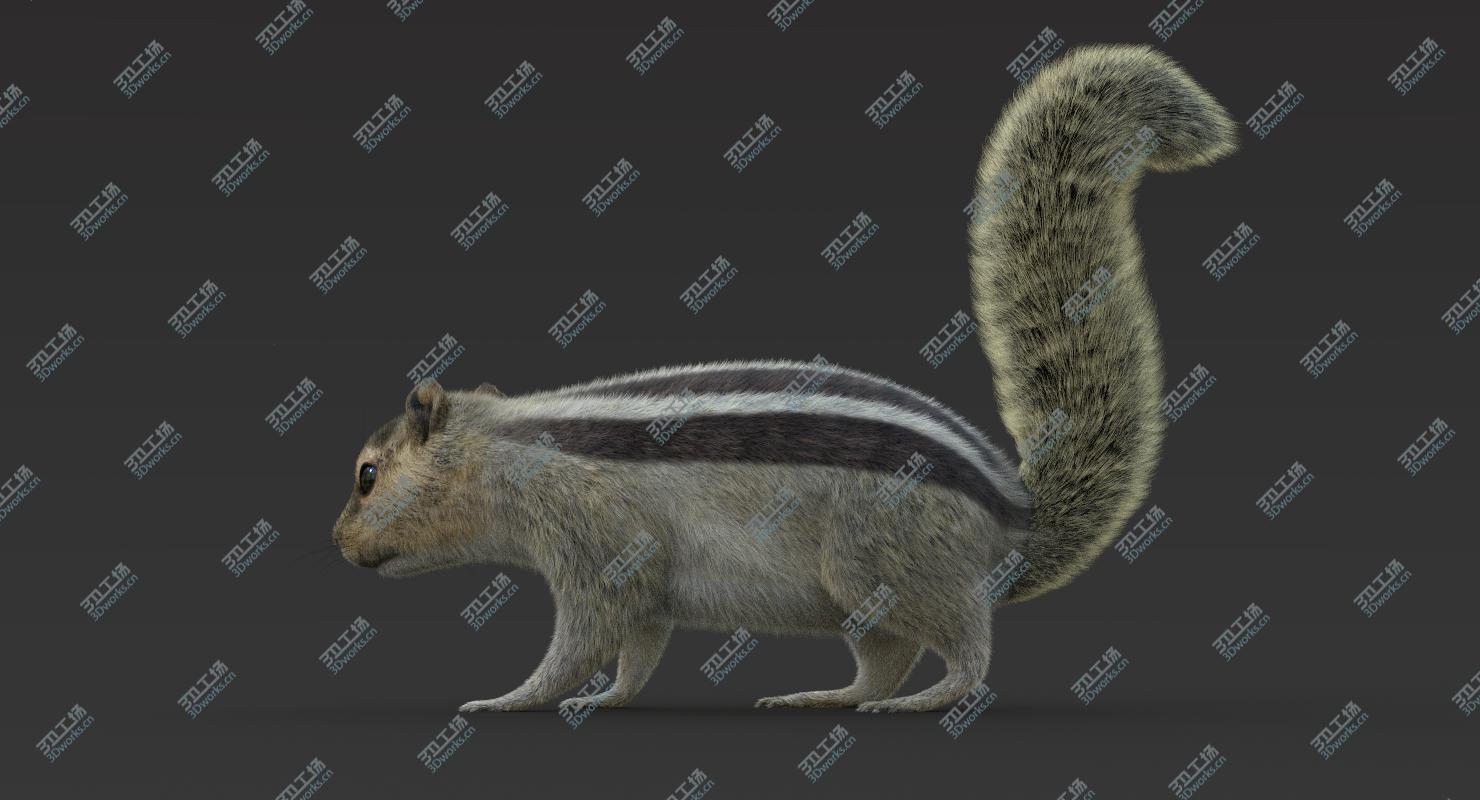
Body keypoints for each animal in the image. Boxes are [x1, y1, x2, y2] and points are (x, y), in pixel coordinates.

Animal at [330, 44, 1237, 713]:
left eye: (368, 475)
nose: (337, 542)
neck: (513, 443)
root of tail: (1012, 518)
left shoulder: (595, 546)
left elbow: (583, 638)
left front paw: (508, 700)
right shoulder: (641, 581)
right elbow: (639, 646)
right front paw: (609, 700)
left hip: (883, 561)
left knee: (966, 642)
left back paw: (923, 699)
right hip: (863, 593)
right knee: (885, 654)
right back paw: (825, 696)